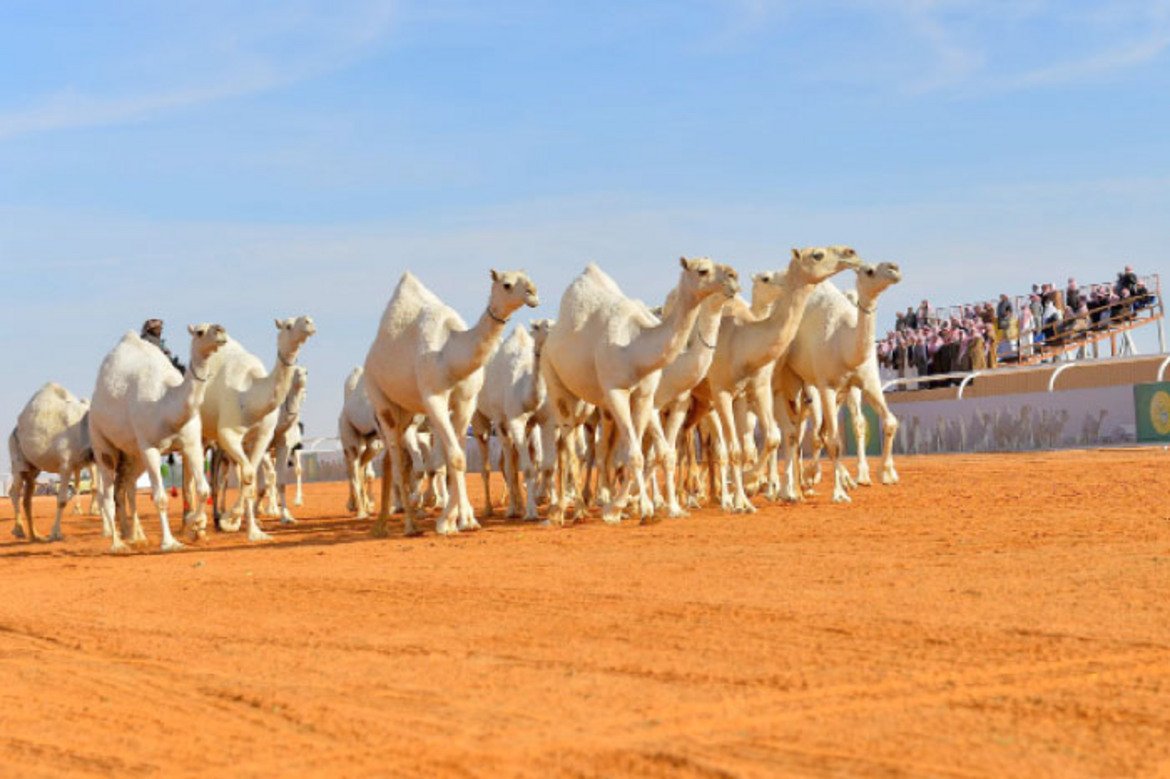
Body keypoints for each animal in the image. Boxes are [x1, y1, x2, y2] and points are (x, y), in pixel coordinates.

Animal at [7, 381, 93, 540]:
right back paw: (19, 531)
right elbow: (62, 500)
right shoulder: (65, 464)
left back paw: (35, 534)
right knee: (14, 491)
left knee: (28, 497)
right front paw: (56, 533)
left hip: (33, 469)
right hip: (16, 454)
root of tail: (15, 429)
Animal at [90, 322, 226, 552]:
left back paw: (136, 536)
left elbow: (203, 490)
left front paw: (194, 524)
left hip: (133, 454)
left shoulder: (192, 444)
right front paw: (170, 542)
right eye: (199, 332)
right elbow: (160, 498)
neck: (166, 405)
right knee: (107, 494)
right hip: (102, 443)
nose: (221, 331)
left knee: (127, 487)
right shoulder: (150, 447)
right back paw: (118, 544)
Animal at [201, 315, 313, 540]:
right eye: (288, 325)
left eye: (305, 371)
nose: (308, 321)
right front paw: (233, 519)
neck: (251, 396)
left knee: (222, 478)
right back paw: (200, 523)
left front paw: (260, 526)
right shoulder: (233, 435)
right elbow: (258, 478)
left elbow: (262, 480)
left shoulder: (271, 439)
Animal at [360, 269, 538, 533]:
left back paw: (383, 524)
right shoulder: (433, 398)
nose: (533, 293)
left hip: (407, 411)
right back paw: (410, 525)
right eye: (506, 284)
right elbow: (454, 457)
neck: (450, 355)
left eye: (528, 278)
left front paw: (461, 520)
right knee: (396, 457)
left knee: (393, 460)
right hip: (380, 399)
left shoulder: (466, 401)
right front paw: (450, 521)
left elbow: (458, 457)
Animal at [542, 259, 734, 521]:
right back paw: (572, 508)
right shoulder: (626, 395)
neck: (636, 350)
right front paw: (641, 507)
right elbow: (643, 454)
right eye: (702, 270)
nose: (733, 277)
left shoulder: (659, 399)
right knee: (570, 445)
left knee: (596, 448)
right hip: (555, 381)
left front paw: (660, 507)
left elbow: (658, 454)